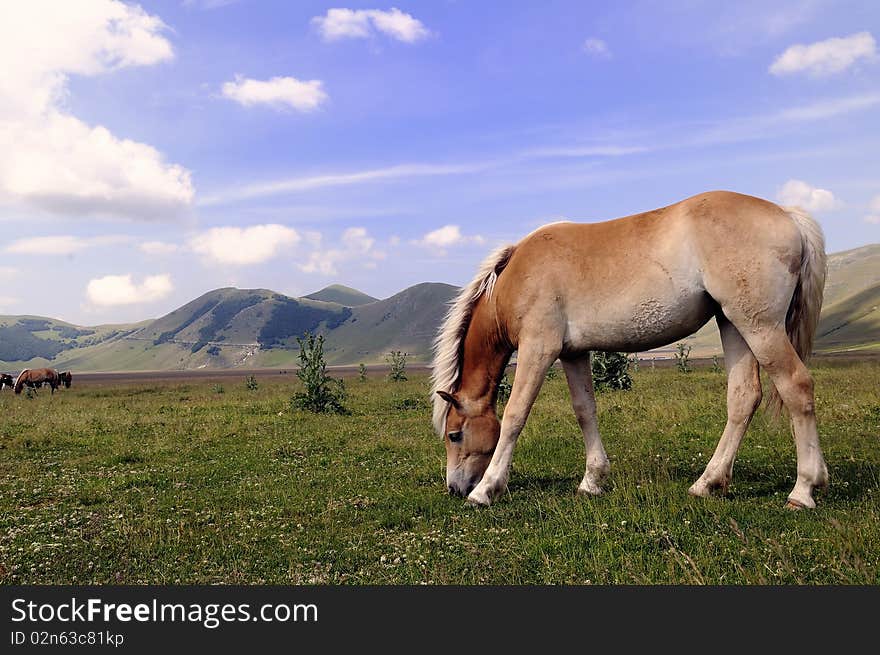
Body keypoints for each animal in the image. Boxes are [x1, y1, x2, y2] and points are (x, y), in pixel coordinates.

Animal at [434, 192, 832, 510]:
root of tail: (787, 214)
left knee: (797, 387)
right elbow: (584, 411)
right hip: (734, 324)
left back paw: (803, 490)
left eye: (454, 435)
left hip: (760, 328)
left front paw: (486, 490)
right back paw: (707, 483)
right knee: (743, 397)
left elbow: (516, 415)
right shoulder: (572, 354)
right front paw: (592, 481)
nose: (455, 488)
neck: (514, 277)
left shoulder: (539, 348)